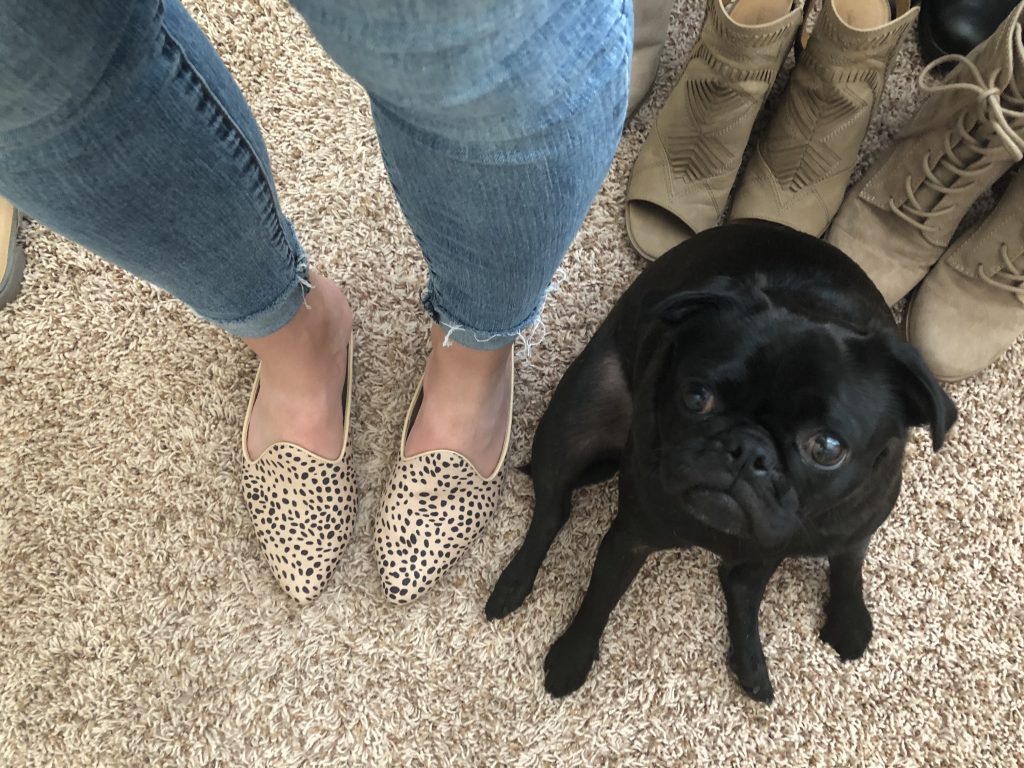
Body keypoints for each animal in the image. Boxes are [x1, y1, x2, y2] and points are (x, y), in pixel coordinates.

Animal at [485, 220, 957, 703]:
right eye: (697, 397)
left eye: (827, 448)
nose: (748, 451)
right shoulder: (630, 537)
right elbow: (599, 597)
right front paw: (572, 658)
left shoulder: (856, 525)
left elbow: (848, 565)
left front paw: (849, 621)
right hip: (570, 427)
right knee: (552, 510)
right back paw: (514, 583)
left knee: (740, 586)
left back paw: (751, 664)